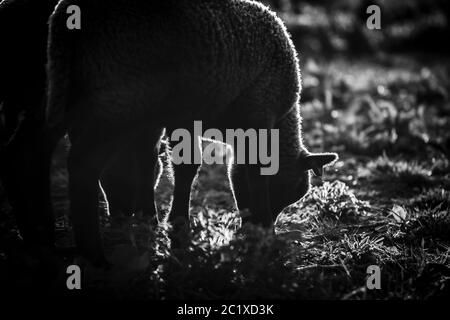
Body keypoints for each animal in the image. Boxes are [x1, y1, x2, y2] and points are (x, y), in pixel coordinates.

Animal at [47, 0, 338, 264]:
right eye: (292, 191)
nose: (121, 215)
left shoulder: (172, 118)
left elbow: (155, 165)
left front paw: (155, 225)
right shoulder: (252, 113)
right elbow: (227, 170)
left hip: (71, 87)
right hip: (120, 96)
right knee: (83, 164)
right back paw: (94, 252)